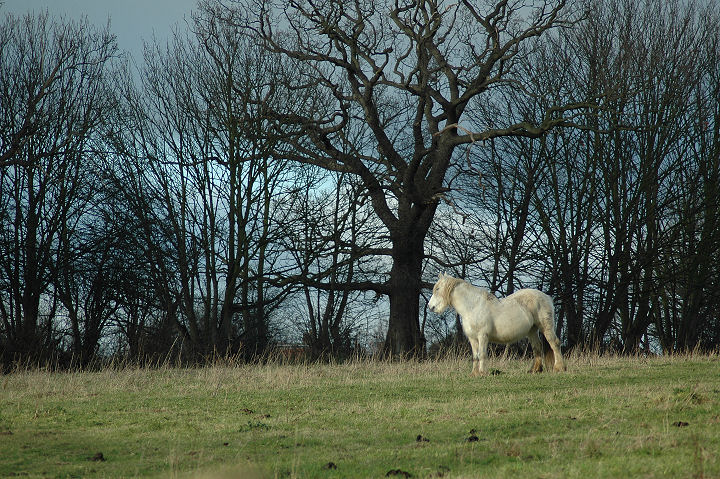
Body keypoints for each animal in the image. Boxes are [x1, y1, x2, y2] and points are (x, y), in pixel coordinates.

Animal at [430, 274, 564, 376]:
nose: (431, 307)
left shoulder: (483, 336)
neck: (472, 307)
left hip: (546, 327)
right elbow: (475, 356)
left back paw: (559, 368)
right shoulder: (472, 338)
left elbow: (482, 354)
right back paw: (534, 370)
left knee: (554, 343)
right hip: (532, 330)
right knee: (537, 347)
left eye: (437, 289)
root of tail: (547, 297)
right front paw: (474, 373)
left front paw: (482, 373)